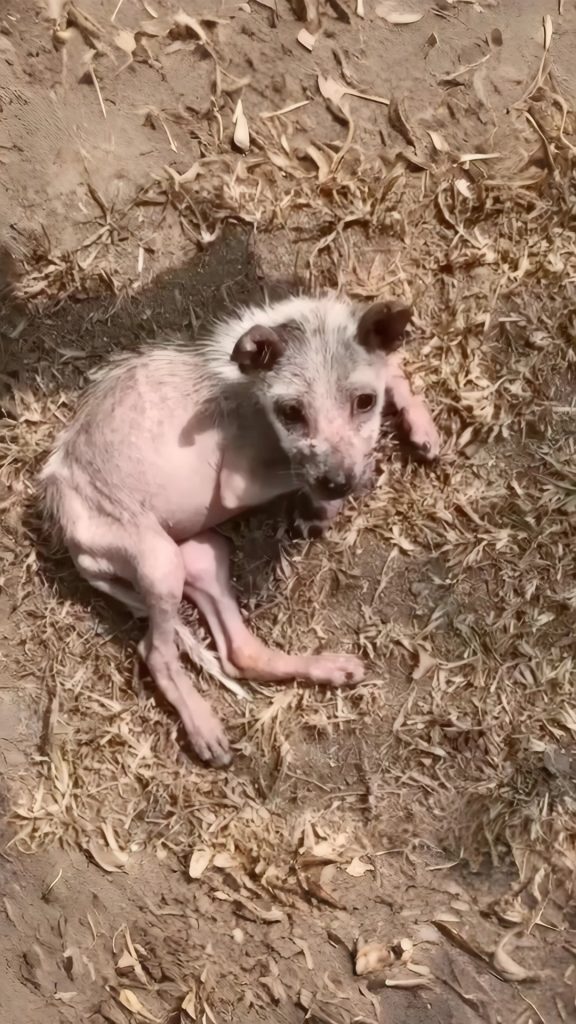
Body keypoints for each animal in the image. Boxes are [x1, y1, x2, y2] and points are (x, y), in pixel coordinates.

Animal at [40, 292, 439, 768]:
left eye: (364, 401)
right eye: (291, 411)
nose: (337, 483)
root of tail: (71, 536)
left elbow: (391, 367)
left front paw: (421, 426)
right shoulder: (238, 482)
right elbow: (310, 469)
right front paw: (327, 504)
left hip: (202, 555)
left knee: (239, 652)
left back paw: (329, 668)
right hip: (159, 561)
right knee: (156, 653)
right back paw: (204, 728)